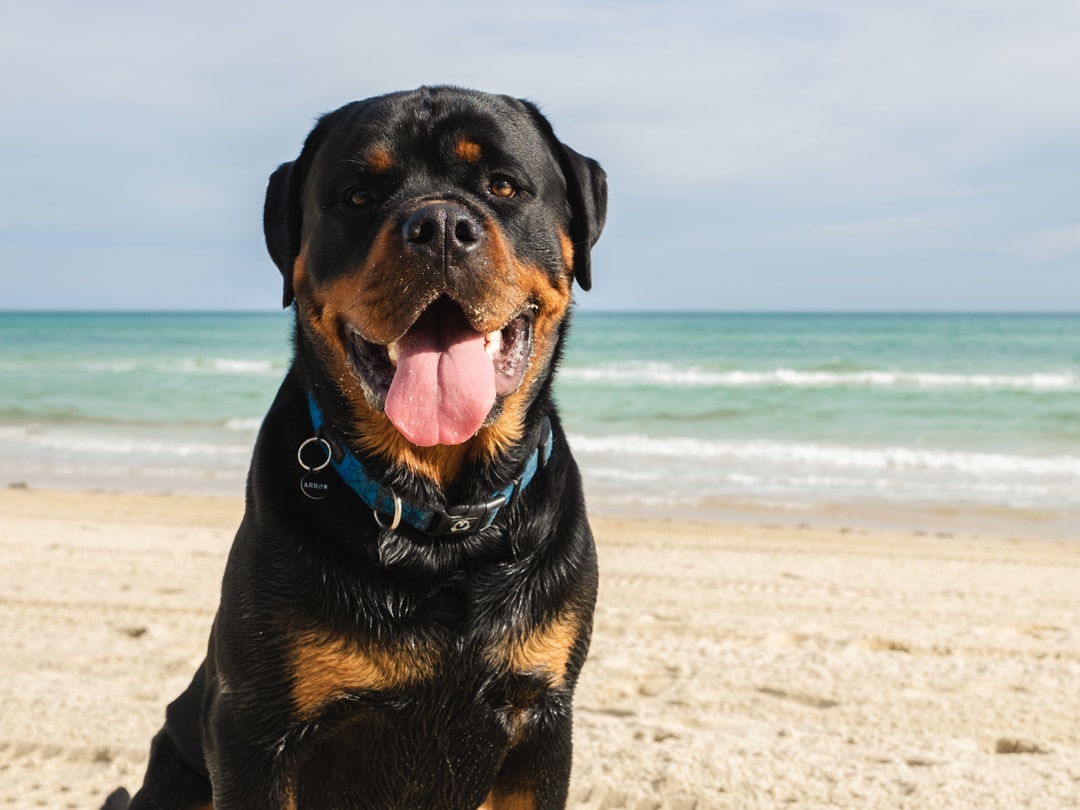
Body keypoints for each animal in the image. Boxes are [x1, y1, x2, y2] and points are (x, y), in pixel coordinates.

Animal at [107, 85, 609, 807]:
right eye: (357, 195)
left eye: (503, 184)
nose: (439, 226)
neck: (439, 523)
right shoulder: (252, 734)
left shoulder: (541, 722)